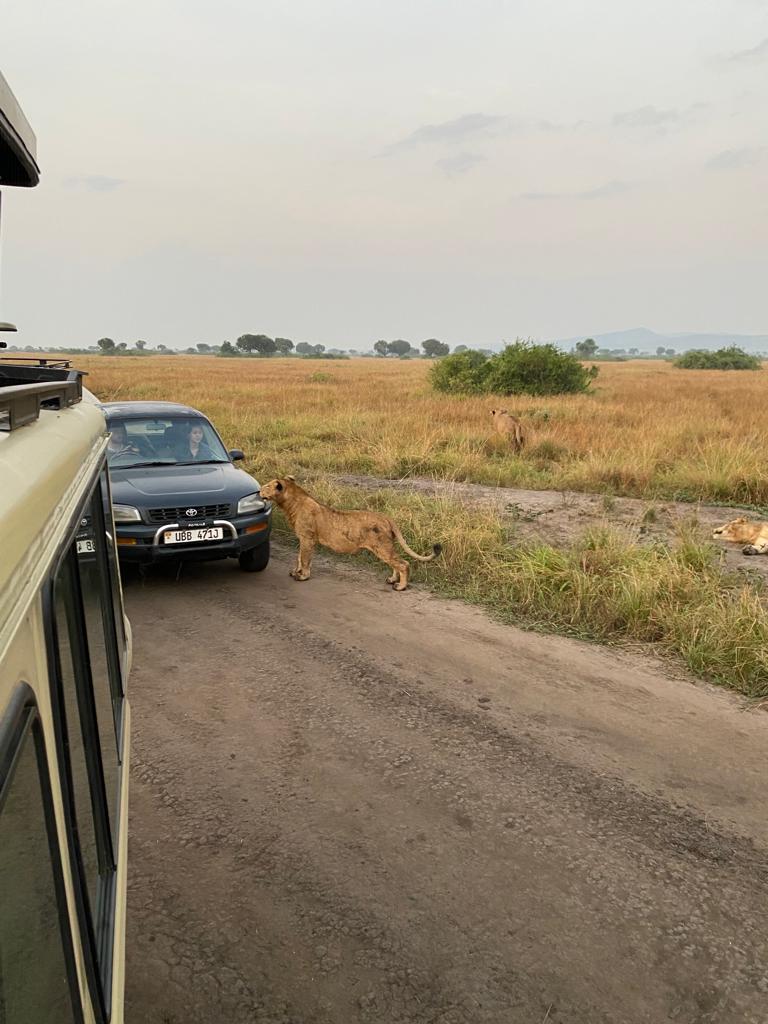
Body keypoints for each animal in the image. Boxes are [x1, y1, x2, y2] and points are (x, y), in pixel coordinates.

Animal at [260, 476, 442, 590]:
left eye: (266, 487)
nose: (259, 490)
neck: (291, 503)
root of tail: (386, 517)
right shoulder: (304, 539)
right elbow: (299, 558)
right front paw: (295, 572)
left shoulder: (307, 538)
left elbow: (304, 559)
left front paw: (302, 576)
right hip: (386, 547)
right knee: (395, 563)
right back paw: (392, 580)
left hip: (382, 546)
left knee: (403, 564)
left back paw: (400, 586)